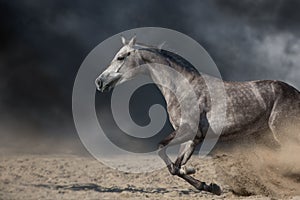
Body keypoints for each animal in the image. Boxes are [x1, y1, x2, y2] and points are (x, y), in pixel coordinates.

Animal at [94, 36, 300, 195]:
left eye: (120, 57)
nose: (99, 82)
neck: (183, 87)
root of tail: (295, 92)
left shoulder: (189, 131)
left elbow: (164, 153)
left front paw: (207, 183)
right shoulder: (193, 138)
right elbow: (178, 166)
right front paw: (209, 186)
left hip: (282, 132)